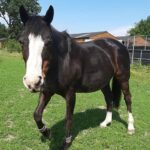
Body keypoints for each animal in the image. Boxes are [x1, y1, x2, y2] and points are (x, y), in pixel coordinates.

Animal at [18, 5, 135, 149]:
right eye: (21, 41)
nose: (32, 82)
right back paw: (105, 123)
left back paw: (130, 127)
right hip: (104, 82)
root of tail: (119, 45)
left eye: (48, 42)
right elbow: (37, 114)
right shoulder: (46, 91)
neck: (63, 61)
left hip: (123, 78)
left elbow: (68, 118)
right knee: (109, 98)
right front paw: (47, 133)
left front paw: (66, 142)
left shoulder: (70, 94)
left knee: (128, 99)